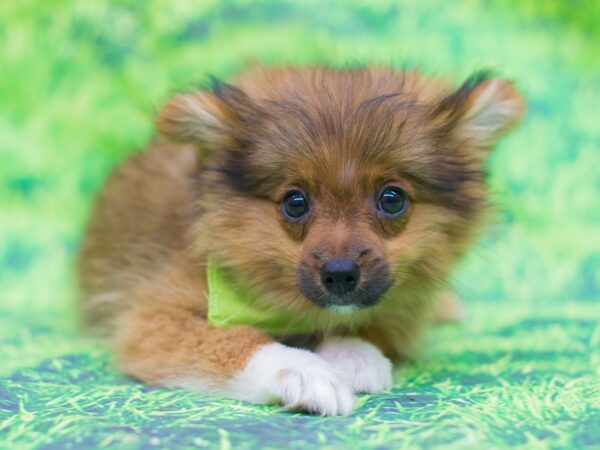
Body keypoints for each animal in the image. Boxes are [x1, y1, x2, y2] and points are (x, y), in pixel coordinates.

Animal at [77, 67, 524, 414]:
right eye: (295, 202)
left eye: (392, 199)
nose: (340, 275)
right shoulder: (154, 317)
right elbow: (238, 339)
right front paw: (306, 372)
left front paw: (354, 352)